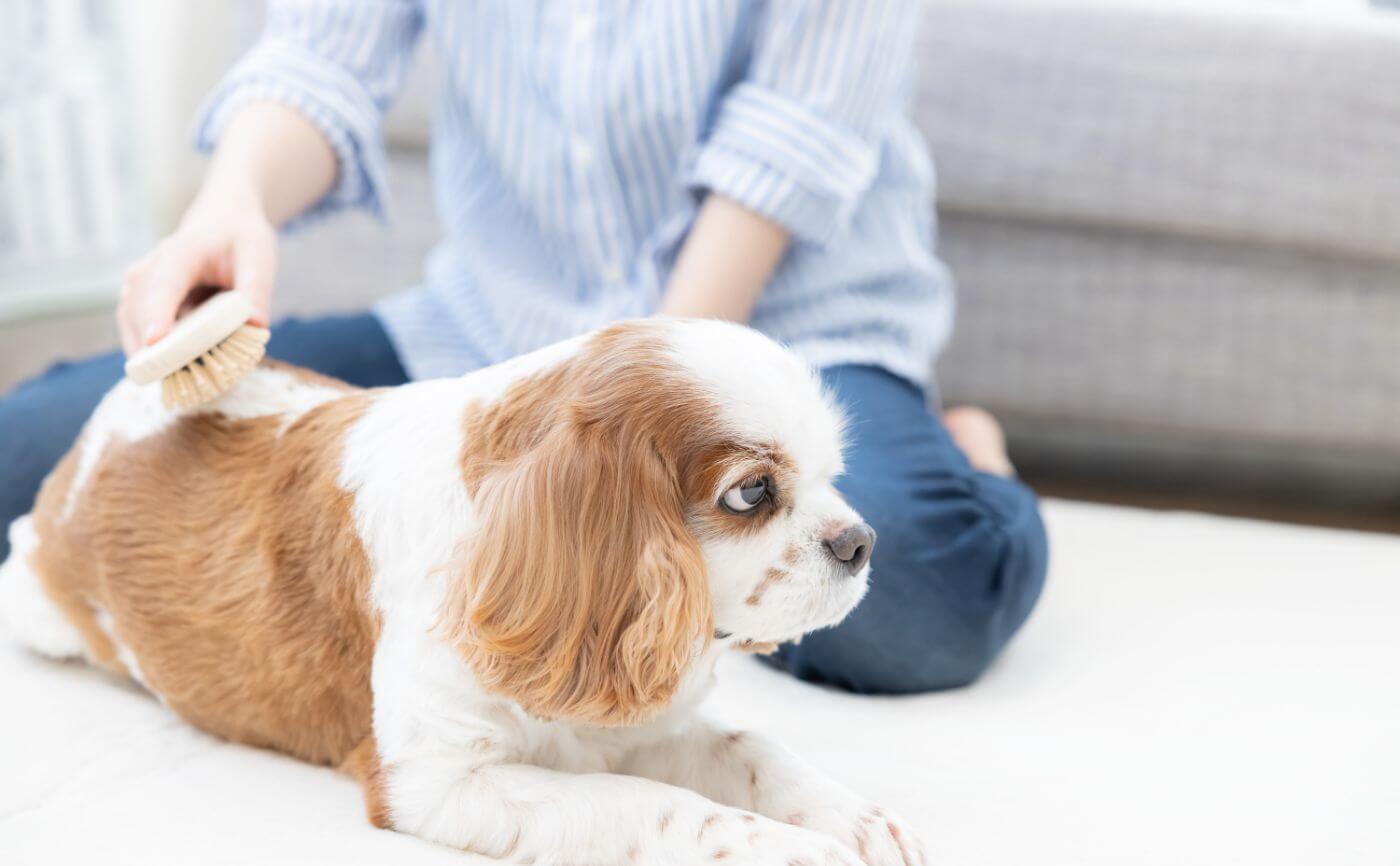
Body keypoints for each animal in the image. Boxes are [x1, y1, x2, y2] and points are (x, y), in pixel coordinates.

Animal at [2, 318, 929, 866]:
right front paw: (799, 853)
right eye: (752, 493)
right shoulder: (436, 782)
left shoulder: (640, 721)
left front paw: (852, 820)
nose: (860, 543)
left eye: (832, 474)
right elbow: (660, 806)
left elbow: (752, 750)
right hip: (37, 603)